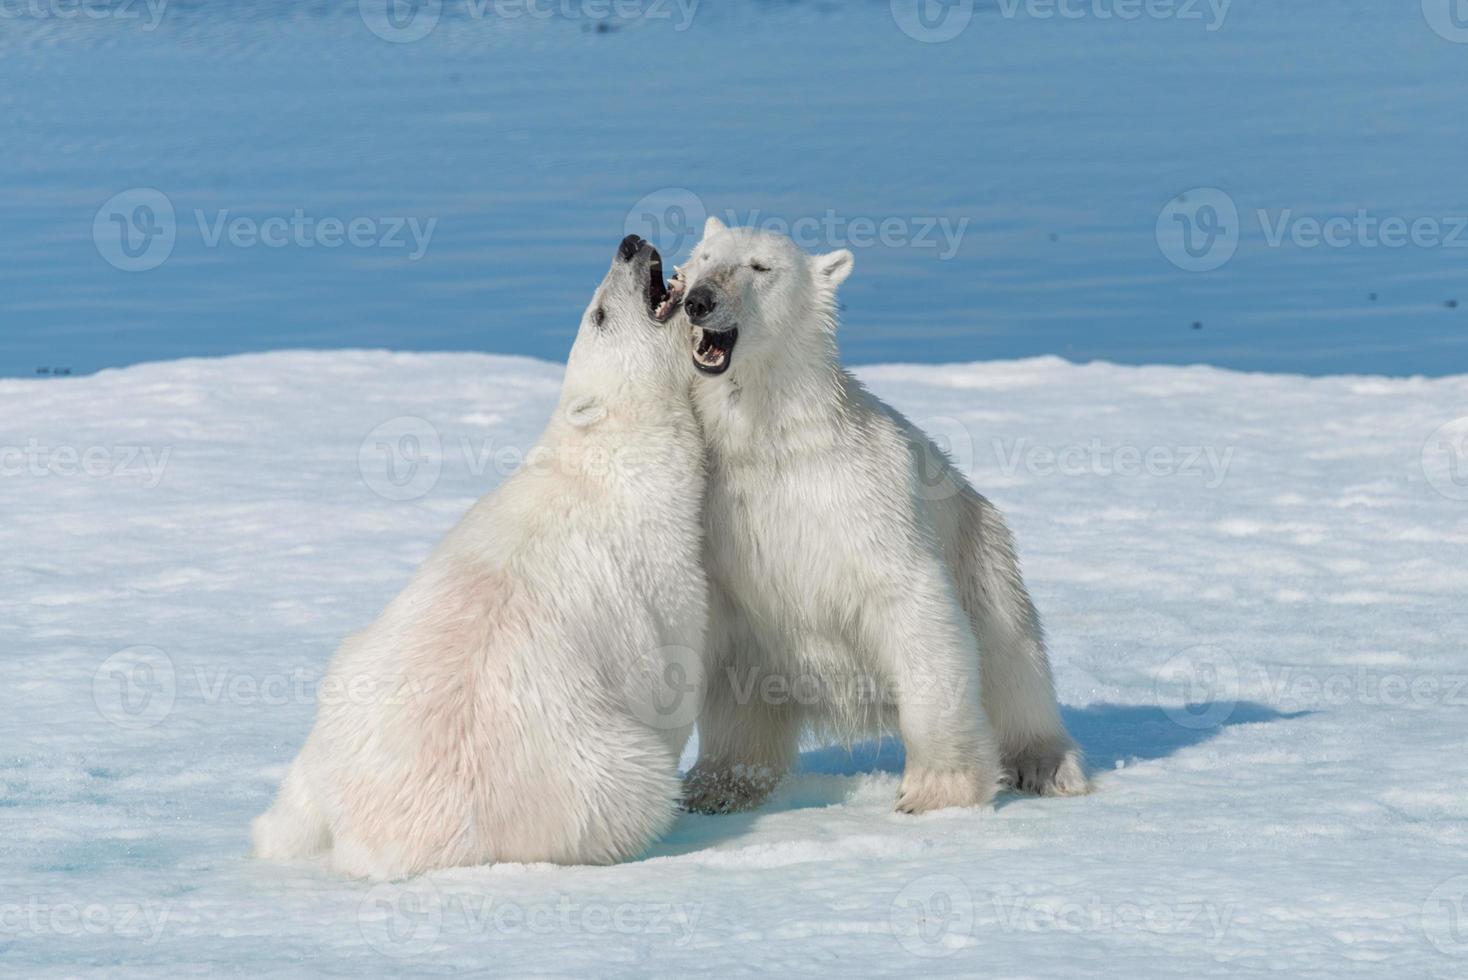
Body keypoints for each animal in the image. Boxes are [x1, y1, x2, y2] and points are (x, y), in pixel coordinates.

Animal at [249, 237, 707, 880]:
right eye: (598, 314)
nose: (630, 244)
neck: (608, 456)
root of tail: (384, 844)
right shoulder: (661, 571)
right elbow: (674, 677)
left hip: (336, 709)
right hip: (591, 777)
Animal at [675, 218, 1092, 815]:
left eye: (760, 266)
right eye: (703, 258)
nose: (699, 300)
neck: (771, 436)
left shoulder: (865, 495)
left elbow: (913, 603)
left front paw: (936, 789)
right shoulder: (716, 510)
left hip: (982, 550)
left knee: (1013, 660)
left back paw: (1046, 764)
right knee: (741, 701)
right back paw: (717, 784)